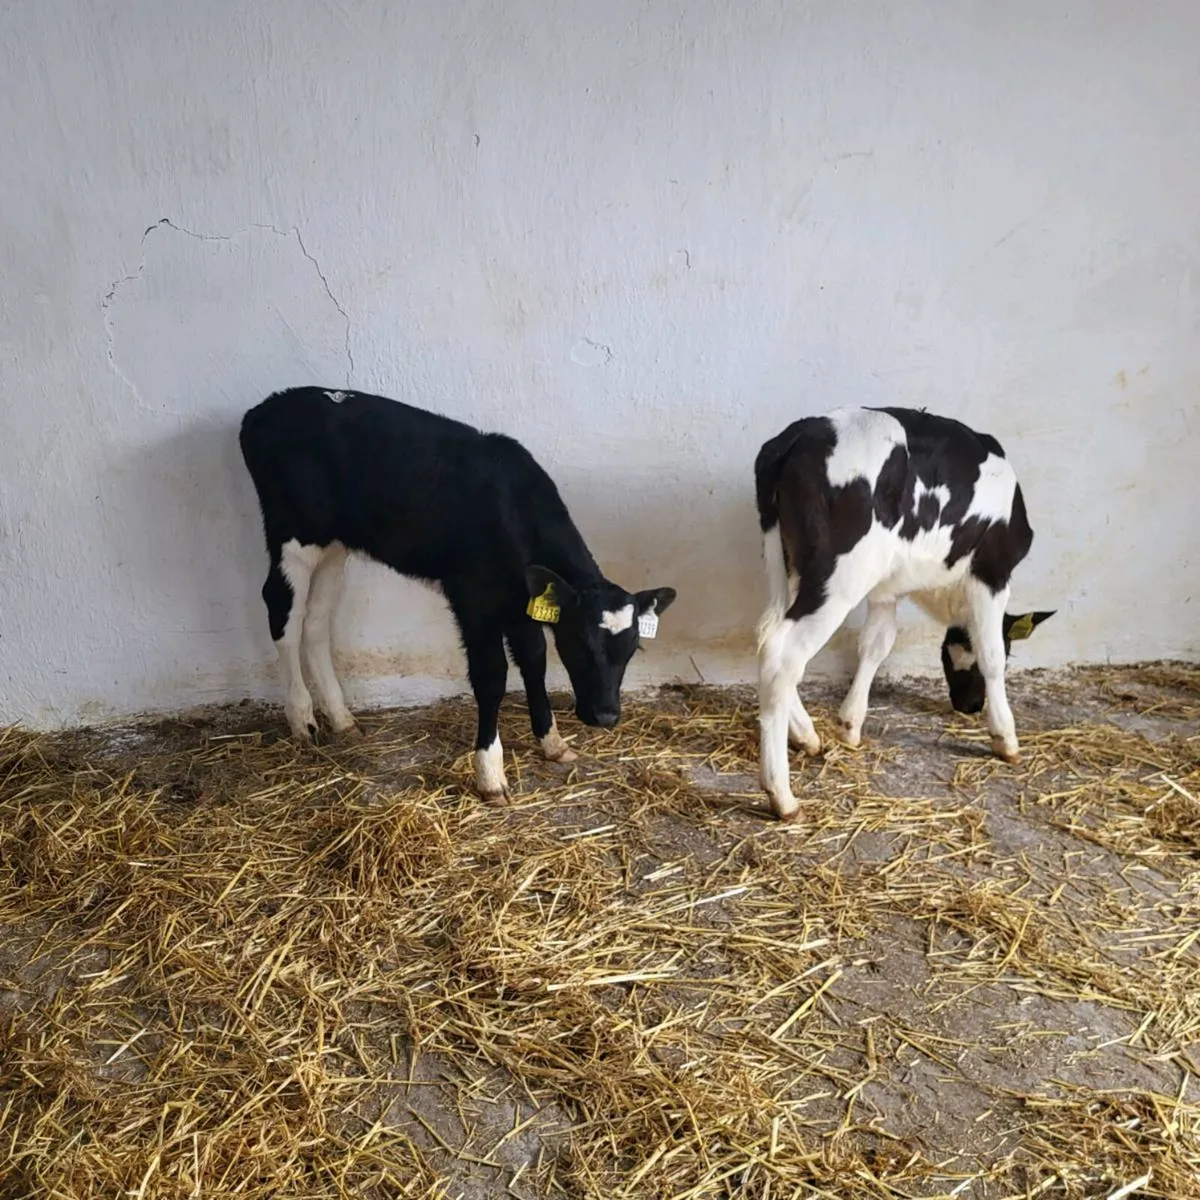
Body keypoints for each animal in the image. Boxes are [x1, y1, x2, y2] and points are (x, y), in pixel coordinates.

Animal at [239, 387, 676, 801]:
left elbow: (534, 661)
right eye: (581, 644)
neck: (512, 506)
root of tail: (266, 408)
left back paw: (342, 719)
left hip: (332, 544)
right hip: (293, 535)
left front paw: (551, 741)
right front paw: (490, 774)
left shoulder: (521, 601)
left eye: (632, 649)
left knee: (315, 620)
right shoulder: (474, 599)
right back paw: (302, 718)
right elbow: (492, 677)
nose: (605, 717)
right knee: (283, 613)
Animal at [753, 406, 1053, 821]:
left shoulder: (887, 589)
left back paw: (807, 736)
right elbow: (990, 652)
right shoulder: (992, 572)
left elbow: (875, 646)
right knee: (782, 654)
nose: (970, 706)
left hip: (790, 563)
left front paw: (850, 724)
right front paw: (1005, 737)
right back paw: (781, 794)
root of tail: (800, 431)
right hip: (838, 576)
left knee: (769, 636)